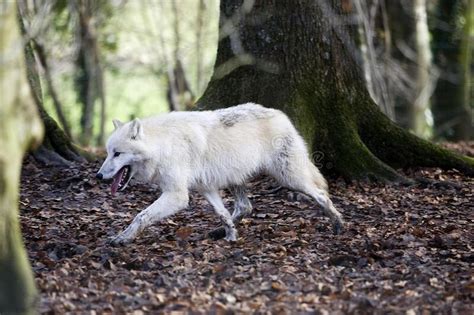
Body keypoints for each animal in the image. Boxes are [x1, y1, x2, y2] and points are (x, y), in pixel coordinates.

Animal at [95, 102, 344, 246]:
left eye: (117, 153)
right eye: (107, 153)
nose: (98, 176)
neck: (163, 145)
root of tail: (281, 114)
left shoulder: (177, 195)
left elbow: (140, 216)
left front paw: (122, 239)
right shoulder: (205, 187)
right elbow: (222, 213)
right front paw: (231, 235)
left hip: (288, 176)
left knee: (322, 194)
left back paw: (338, 224)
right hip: (236, 179)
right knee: (245, 207)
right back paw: (218, 232)